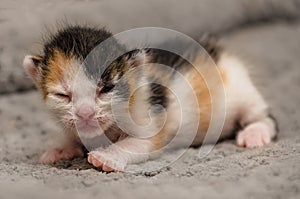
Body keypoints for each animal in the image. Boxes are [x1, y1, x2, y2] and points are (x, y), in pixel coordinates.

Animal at [22, 25, 278, 172]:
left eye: (107, 89)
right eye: (62, 95)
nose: (85, 113)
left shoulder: (150, 118)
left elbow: (139, 144)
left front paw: (107, 156)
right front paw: (60, 149)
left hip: (242, 90)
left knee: (266, 118)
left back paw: (255, 133)